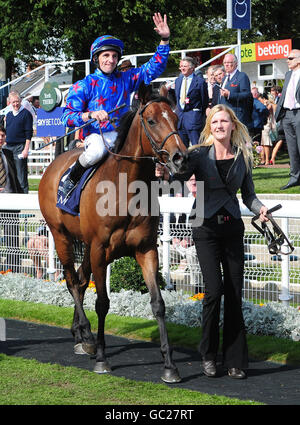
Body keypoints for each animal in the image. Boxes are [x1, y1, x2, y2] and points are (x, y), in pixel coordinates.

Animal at [38, 82, 186, 380]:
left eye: (176, 120)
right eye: (151, 120)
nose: (179, 157)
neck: (126, 188)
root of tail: (52, 166)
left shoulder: (145, 249)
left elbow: (158, 303)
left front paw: (169, 365)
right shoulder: (100, 248)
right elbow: (103, 303)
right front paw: (102, 358)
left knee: (80, 280)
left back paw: (79, 333)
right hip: (61, 236)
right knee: (71, 280)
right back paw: (87, 337)